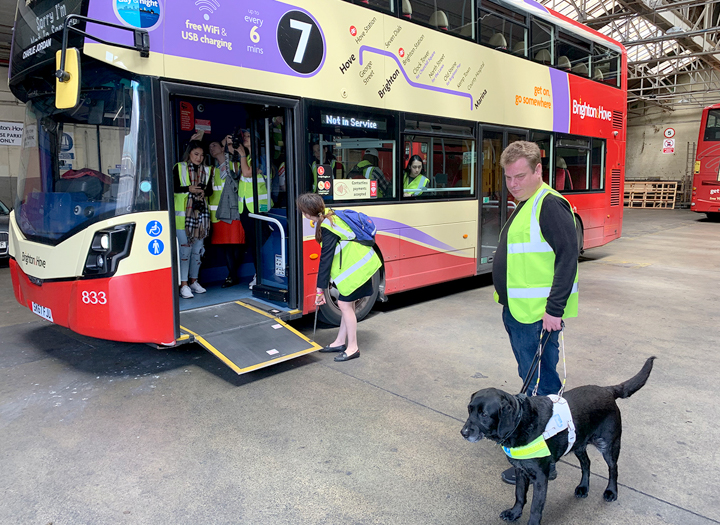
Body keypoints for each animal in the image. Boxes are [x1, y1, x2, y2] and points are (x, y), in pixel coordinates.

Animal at [462, 356, 660, 524]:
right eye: (469, 410)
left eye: (484, 414)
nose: (463, 432)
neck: (521, 421)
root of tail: (607, 390)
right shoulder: (520, 470)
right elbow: (519, 495)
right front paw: (514, 513)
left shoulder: (540, 478)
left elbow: (535, 508)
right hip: (578, 444)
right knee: (586, 463)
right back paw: (583, 487)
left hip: (608, 445)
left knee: (613, 468)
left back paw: (611, 491)